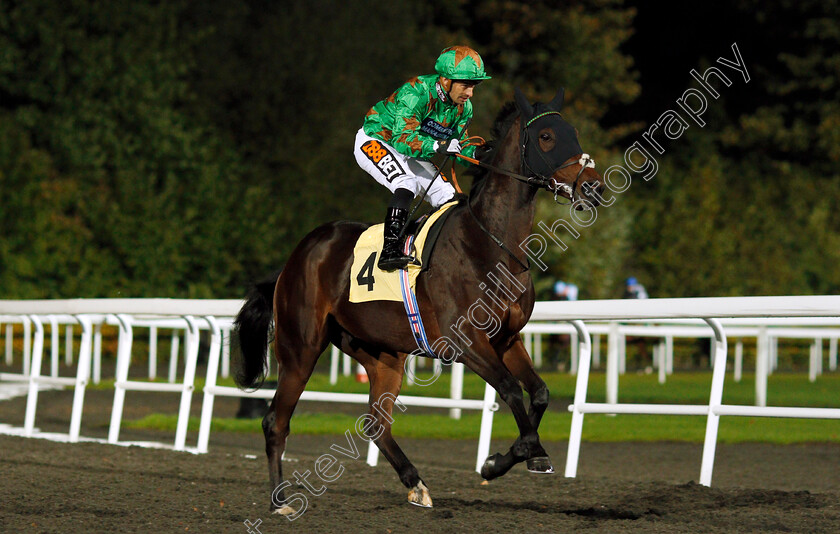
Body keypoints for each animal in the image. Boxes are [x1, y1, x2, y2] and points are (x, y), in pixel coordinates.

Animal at [236, 88, 604, 516]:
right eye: (546, 137)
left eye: (573, 132)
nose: (593, 187)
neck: (490, 243)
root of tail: (298, 256)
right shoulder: (466, 342)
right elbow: (512, 390)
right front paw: (521, 456)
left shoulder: (506, 339)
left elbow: (540, 393)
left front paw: (505, 460)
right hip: (300, 347)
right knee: (276, 421)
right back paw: (280, 500)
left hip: (381, 354)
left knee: (376, 423)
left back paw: (416, 483)